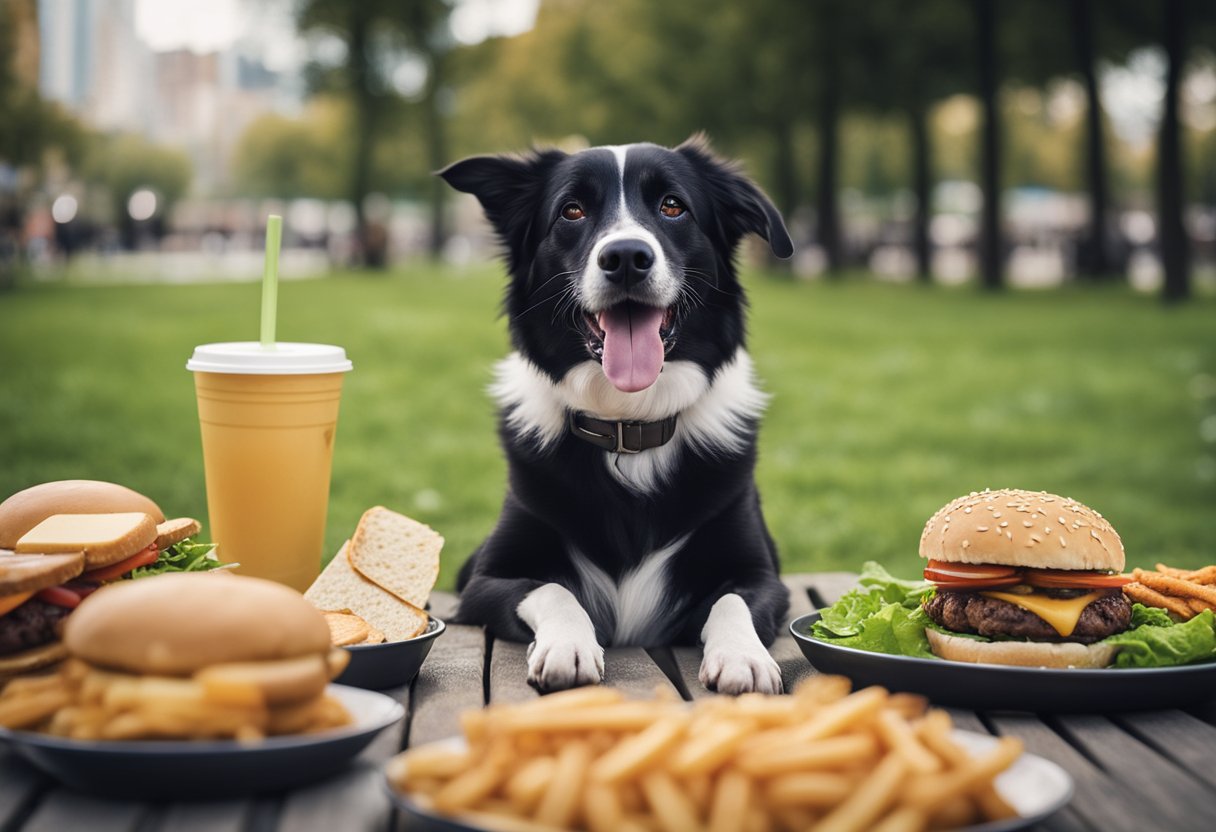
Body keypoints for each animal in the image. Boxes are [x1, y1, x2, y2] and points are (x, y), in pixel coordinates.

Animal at [442, 138, 792, 695]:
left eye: (672, 206)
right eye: (572, 210)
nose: (626, 256)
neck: (631, 424)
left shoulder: (763, 577)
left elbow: (731, 601)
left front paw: (743, 656)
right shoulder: (484, 580)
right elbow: (554, 590)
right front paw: (568, 647)